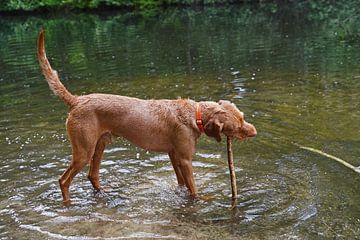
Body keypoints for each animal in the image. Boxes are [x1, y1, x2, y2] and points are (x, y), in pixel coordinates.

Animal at [36, 29, 256, 202]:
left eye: (243, 117)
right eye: (237, 126)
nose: (254, 132)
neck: (194, 114)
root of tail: (77, 100)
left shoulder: (173, 154)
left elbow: (181, 183)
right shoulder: (185, 159)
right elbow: (193, 188)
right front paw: (201, 199)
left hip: (100, 145)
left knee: (92, 175)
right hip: (84, 151)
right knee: (63, 180)